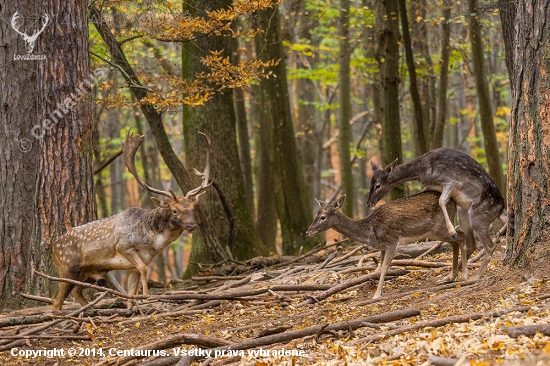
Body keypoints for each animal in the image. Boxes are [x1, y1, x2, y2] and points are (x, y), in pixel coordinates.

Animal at [51, 132, 212, 308]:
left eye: (193, 208)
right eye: (175, 210)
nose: (191, 225)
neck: (152, 243)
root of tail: (53, 246)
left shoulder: (132, 267)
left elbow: (131, 291)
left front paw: (132, 307)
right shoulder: (124, 246)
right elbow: (143, 269)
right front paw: (147, 297)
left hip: (85, 272)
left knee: (75, 291)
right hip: (67, 268)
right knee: (57, 299)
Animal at [308, 190, 468, 298]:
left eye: (323, 217)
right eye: (316, 214)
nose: (308, 230)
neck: (370, 232)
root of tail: (453, 201)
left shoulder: (392, 241)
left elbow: (385, 267)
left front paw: (377, 295)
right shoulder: (383, 247)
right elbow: (378, 268)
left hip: (440, 227)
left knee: (460, 236)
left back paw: (464, 275)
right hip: (434, 232)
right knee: (456, 241)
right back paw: (450, 277)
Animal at [368, 148, 506, 280]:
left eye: (377, 185)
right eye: (371, 183)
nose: (369, 203)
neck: (422, 172)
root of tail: (501, 210)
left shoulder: (451, 181)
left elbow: (441, 201)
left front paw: (452, 231)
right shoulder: (431, 187)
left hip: (478, 217)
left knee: (490, 246)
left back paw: (474, 276)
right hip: (463, 214)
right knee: (472, 244)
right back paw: (450, 276)